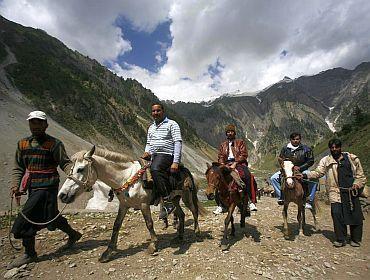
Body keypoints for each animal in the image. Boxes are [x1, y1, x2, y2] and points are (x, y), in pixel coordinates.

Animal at [57, 147, 205, 262]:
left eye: (80, 169)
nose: (62, 195)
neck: (126, 178)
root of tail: (186, 170)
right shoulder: (123, 205)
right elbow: (116, 225)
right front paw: (107, 252)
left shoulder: (144, 204)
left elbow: (149, 223)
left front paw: (153, 245)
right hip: (174, 199)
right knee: (181, 214)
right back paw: (179, 237)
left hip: (187, 197)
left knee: (194, 211)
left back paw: (197, 233)